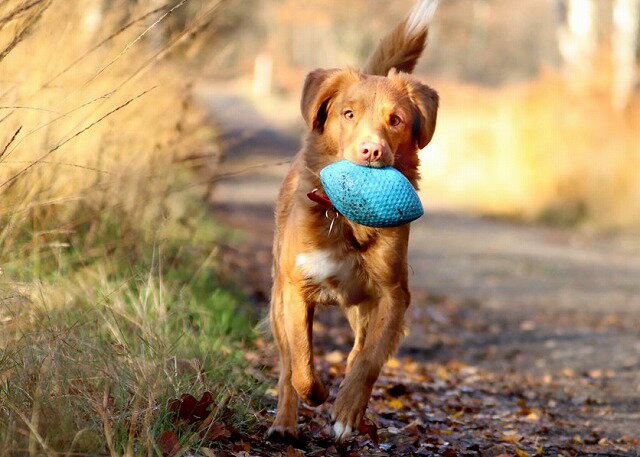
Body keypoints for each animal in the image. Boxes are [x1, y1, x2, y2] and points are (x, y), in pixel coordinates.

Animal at [268, 0, 438, 442]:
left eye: (395, 120)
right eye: (348, 114)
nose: (371, 151)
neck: (344, 219)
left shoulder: (393, 295)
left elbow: (368, 360)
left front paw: (346, 411)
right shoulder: (296, 290)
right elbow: (302, 362)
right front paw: (317, 394)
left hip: (362, 307)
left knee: (359, 350)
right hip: (277, 298)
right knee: (286, 365)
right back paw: (284, 423)